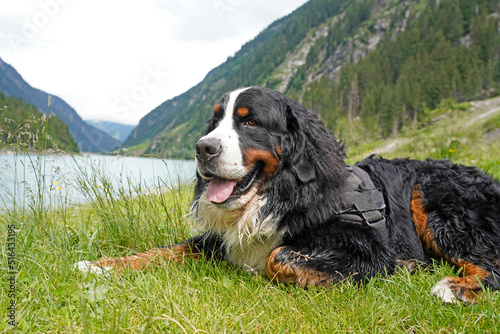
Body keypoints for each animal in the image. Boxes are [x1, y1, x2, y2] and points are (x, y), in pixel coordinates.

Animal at [75, 86, 500, 306]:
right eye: (215, 121)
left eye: (249, 122)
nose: (202, 148)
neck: (282, 193)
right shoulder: (218, 241)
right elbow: (166, 250)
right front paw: (102, 265)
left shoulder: (364, 246)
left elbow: (279, 257)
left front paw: (400, 267)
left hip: (433, 195)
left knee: (490, 263)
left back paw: (454, 287)